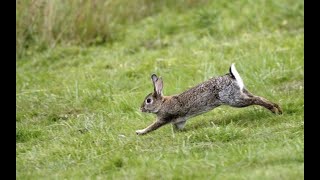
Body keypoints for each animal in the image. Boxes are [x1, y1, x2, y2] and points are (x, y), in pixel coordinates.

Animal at [136, 63, 282, 135]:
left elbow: (152, 127)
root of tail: (231, 76)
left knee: (255, 100)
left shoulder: (163, 118)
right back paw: (278, 109)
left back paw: (273, 110)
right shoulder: (180, 120)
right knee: (257, 97)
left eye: (148, 100)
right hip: (241, 93)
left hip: (233, 99)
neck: (162, 103)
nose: (141, 108)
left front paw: (140, 132)